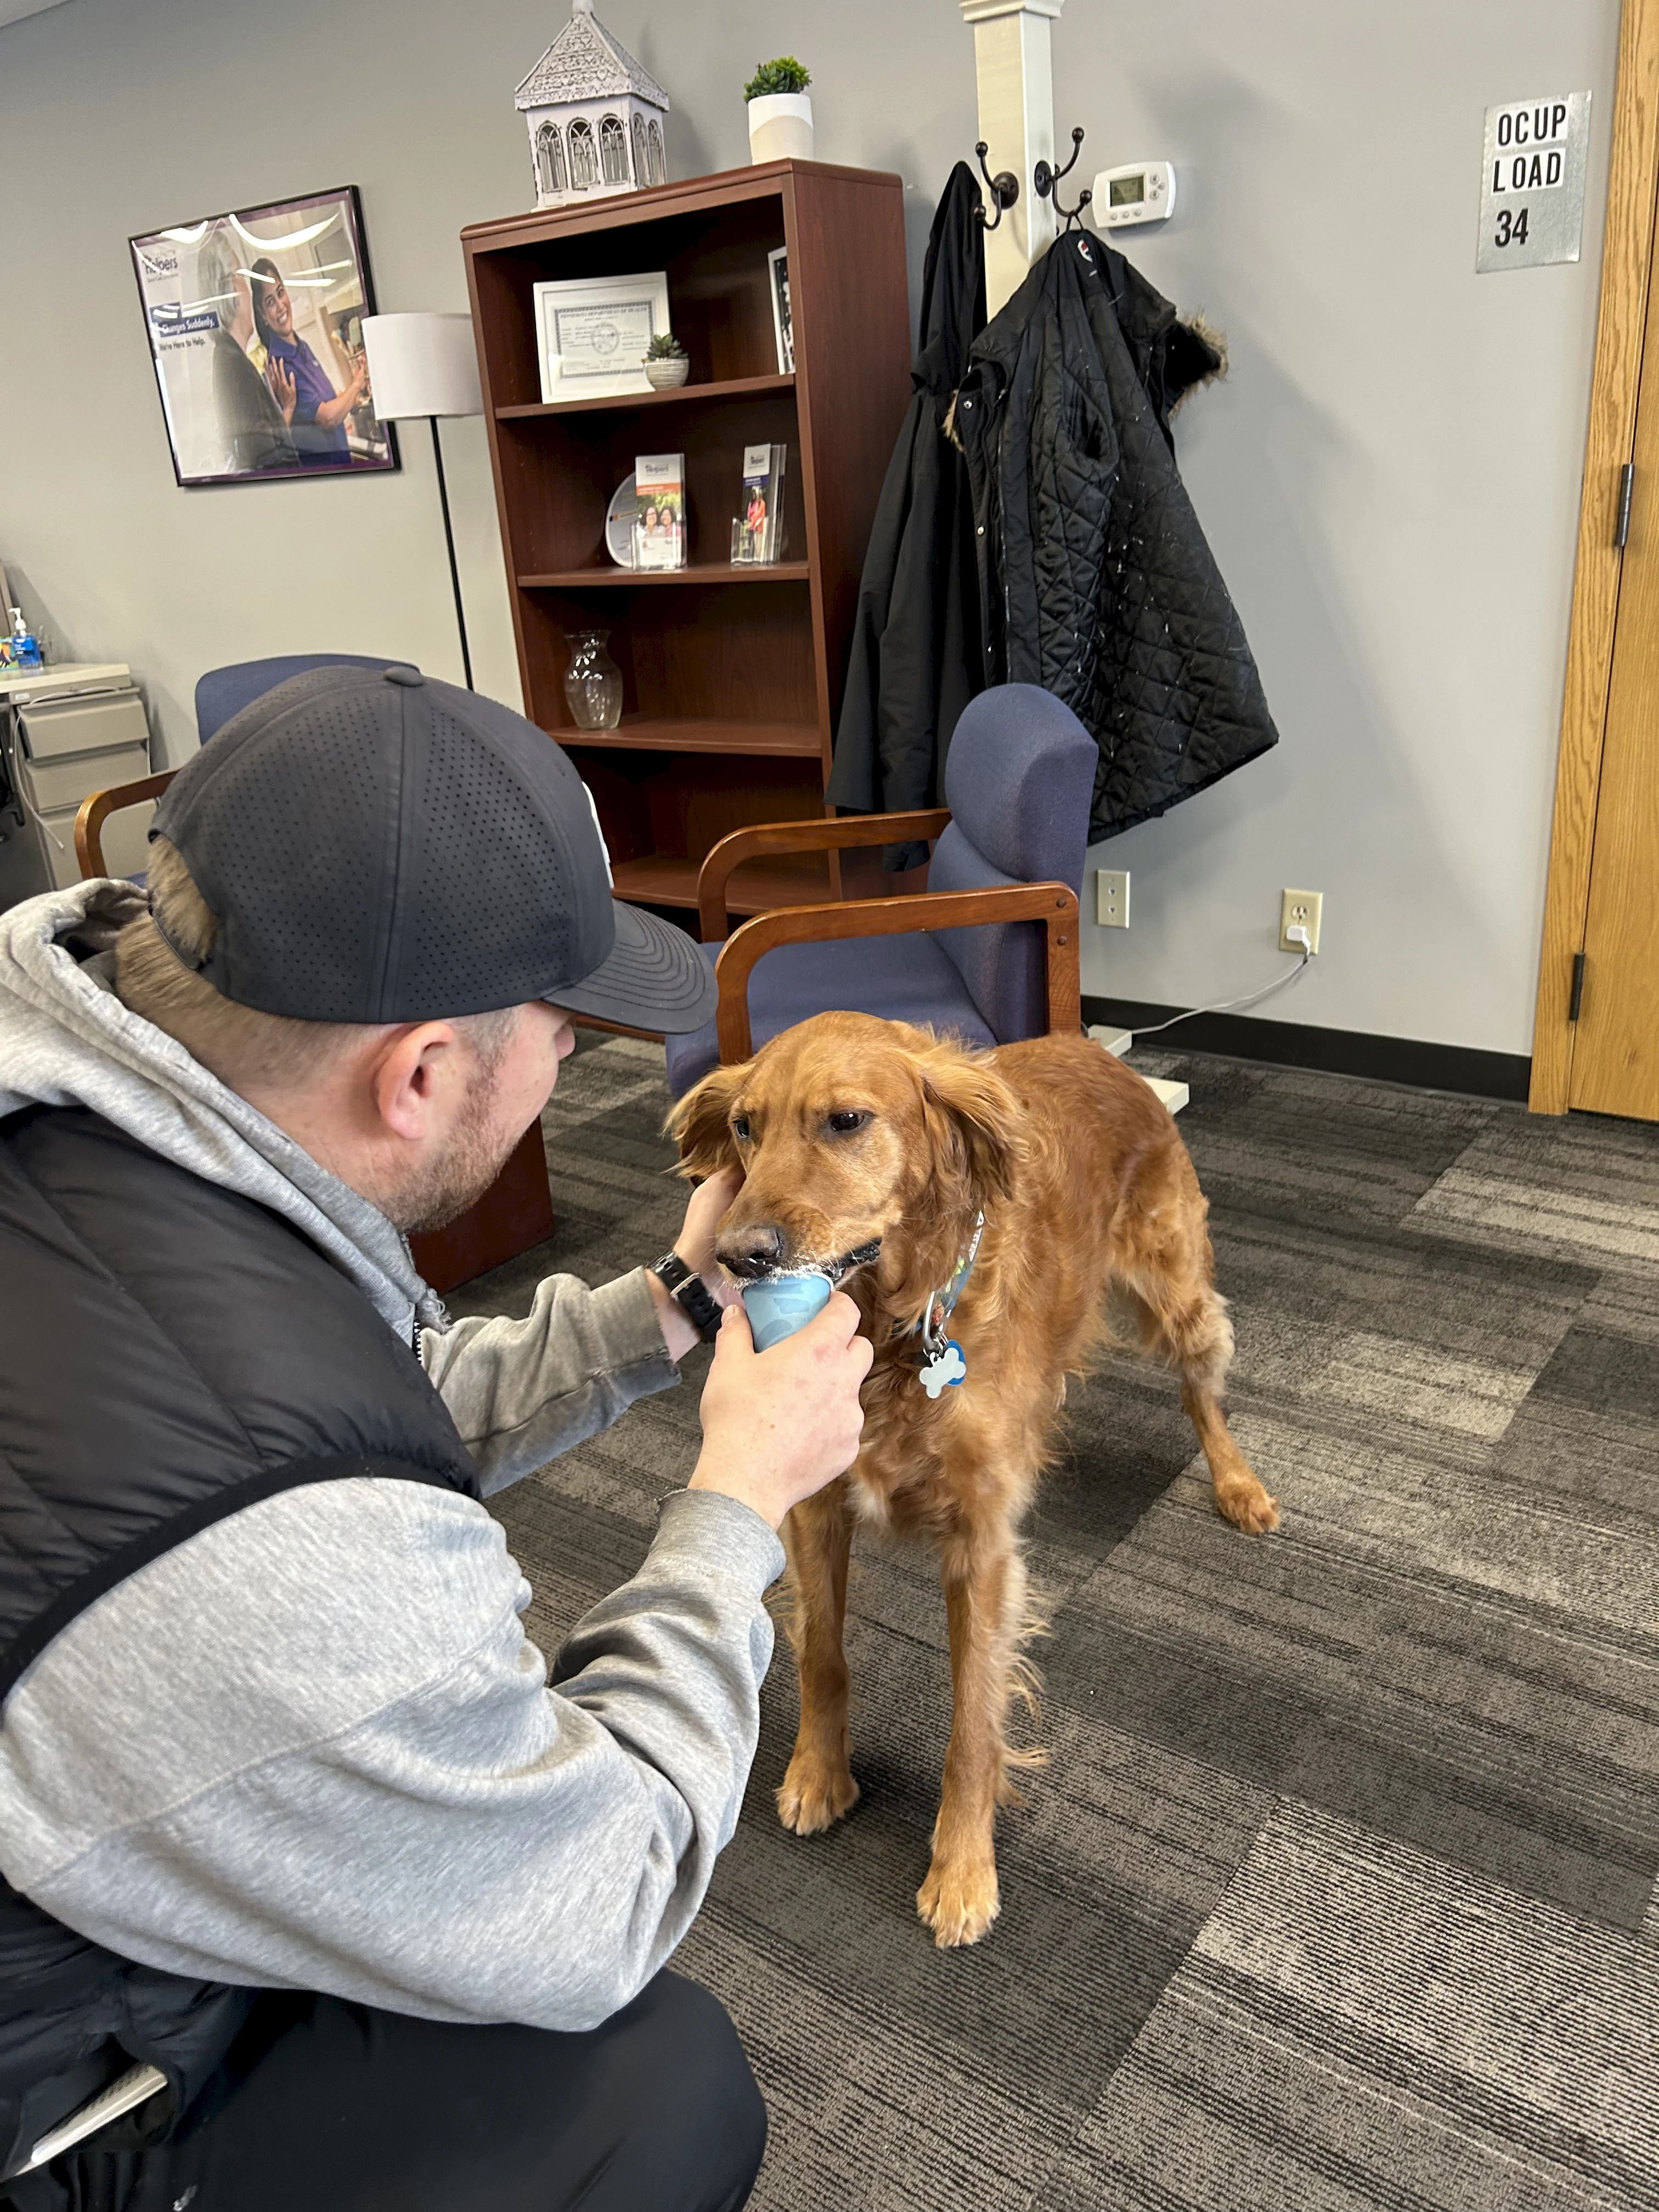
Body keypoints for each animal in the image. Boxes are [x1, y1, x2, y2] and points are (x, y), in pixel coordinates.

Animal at [668, 1013, 1283, 1946]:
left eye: (846, 1122)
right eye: (744, 1127)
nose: (738, 1256)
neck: (892, 1329)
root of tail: (1094, 1047)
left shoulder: (983, 1547)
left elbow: (973, 1719)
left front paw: (961, 1869)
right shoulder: (815, 1508)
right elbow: (821, 1653)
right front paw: (819, 1773)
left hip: (1176, 1288)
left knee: (1201, 1390)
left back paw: (1237, 1483)